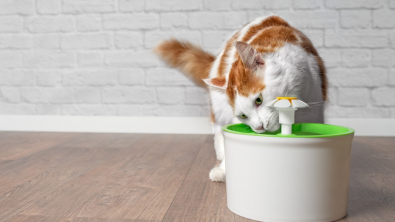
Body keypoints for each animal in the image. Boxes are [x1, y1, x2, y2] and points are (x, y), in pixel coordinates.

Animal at [155, 15, 328, 182]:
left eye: (258, 100)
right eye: (243, 115)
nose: (259, 127)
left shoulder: (315, 108)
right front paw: (223, 169)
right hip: (218, 106)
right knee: (217, 127)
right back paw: (221, 152)